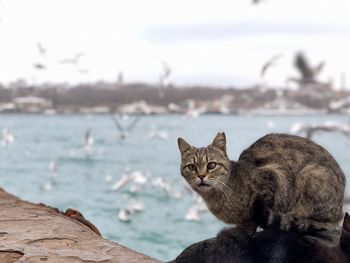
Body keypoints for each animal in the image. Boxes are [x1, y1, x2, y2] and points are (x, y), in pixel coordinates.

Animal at [179, 133, 346, 234]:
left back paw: (304, 221)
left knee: (331, 222)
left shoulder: (273, 174)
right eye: (192, 167)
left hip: (311, 174)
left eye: (211, 165)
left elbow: (270, 210)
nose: (201, 176)